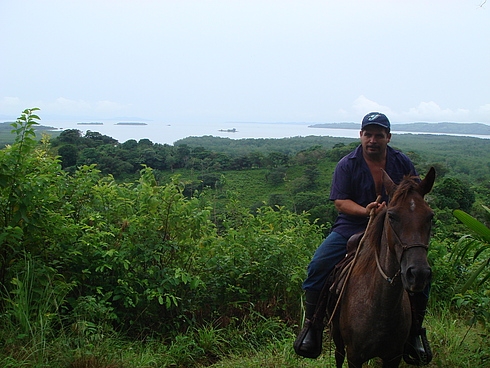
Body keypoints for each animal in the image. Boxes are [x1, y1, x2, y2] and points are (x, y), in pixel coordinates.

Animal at [330, 167, 436, 368]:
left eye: (430, 216)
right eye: (392, 216)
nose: (418, 274)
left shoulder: (393, 356)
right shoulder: (354, 356)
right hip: (338, 339)